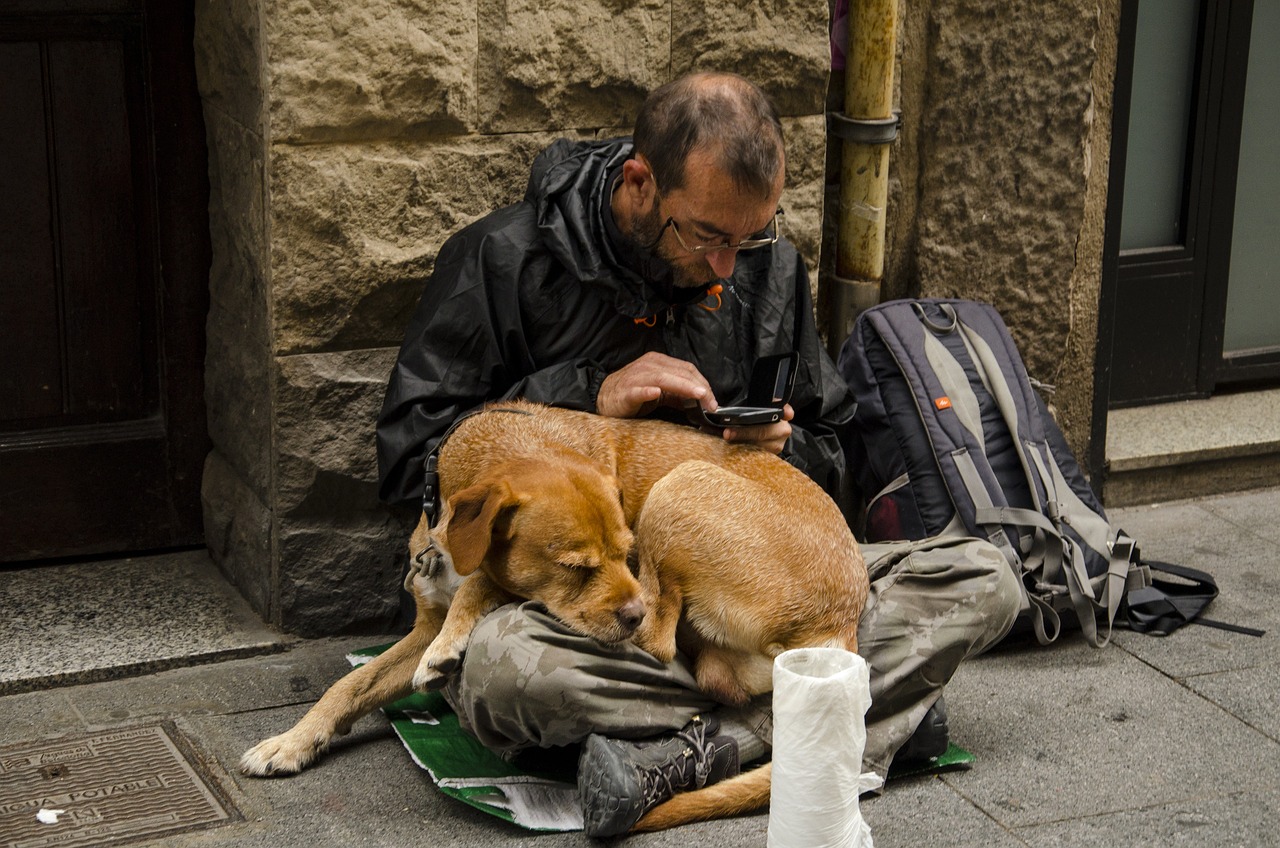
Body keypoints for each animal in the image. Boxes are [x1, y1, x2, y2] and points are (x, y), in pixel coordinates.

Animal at [240, 402, 870, 835]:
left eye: (627, 552)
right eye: (576, 566)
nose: (630, 607)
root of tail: (841, 623)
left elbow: (485, 586)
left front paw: (453, 642)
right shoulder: (419, 625)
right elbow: (349, 685)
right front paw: (291, 742)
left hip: (680, 486)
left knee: (662, 644)